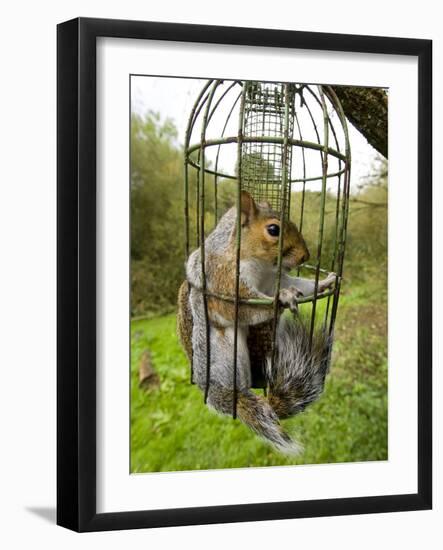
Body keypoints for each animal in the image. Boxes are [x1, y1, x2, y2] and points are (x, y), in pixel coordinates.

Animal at [177, 192, 336, 454]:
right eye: (273, 229)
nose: (305, 256)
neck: (260, 264)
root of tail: (214, 390)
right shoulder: (225, 279)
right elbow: (246, 307)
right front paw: (283, 298)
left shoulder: (275, 279)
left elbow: (299, 284)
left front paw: (325, 282)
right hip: (227, 356)